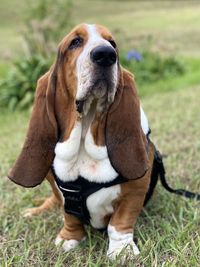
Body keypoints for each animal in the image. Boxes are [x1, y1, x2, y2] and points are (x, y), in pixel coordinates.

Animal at [7, 24, 158, 262]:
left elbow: (120, 222)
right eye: (75, 42)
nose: (106, 54)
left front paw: (121, 250)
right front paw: (69, 238)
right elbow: (68, 214)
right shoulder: (62, 194)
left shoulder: (135, 190)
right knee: (52, 201)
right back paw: (33, 211)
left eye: (112, 43)